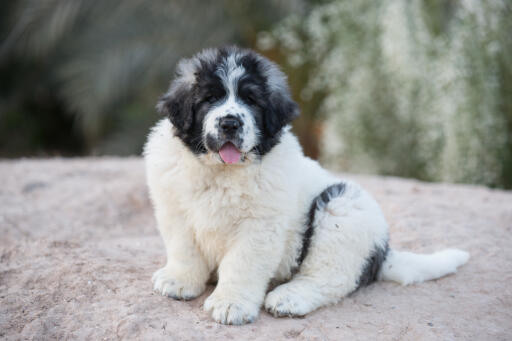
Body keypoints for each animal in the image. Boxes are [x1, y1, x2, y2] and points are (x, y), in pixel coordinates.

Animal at [143, 45, 468, 324]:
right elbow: (184, 249)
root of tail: (383, 252)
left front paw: (231, 304)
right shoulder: (175, 209)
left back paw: (290, 298)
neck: (222, 172)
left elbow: (242, 264)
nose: (230, 123)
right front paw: (179, 281)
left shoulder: (259, 226)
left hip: (340, 209)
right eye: (210, 99)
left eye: (251, 101)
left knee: (330, 278)